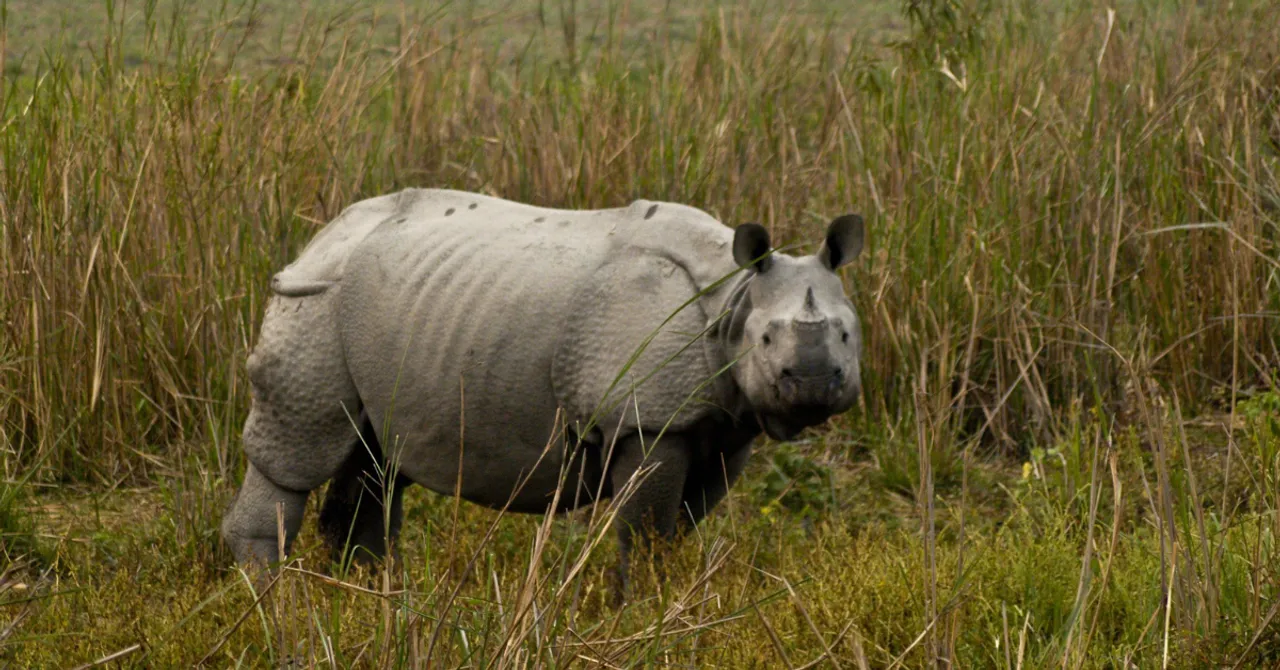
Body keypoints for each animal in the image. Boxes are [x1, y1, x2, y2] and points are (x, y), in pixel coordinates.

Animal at [221, 188, 865, 597]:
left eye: (846, 333)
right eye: (766, 338)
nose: (813, 383)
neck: (732, 298)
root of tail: (321, 236)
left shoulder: (722, 427)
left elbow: (678, 532)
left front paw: (663, 604)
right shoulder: (649, 418)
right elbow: (645, 535)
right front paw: (641, 615)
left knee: (375, 462)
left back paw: (369, 599)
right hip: (315, 301)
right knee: (298, 453)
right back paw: (272, 606)